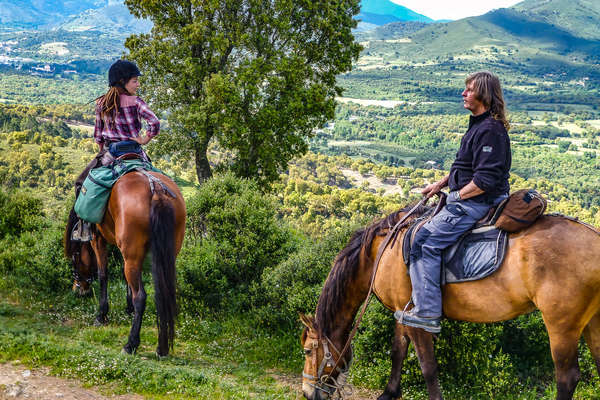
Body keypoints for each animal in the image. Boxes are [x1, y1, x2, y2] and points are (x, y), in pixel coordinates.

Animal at [63, 169, 185, 356]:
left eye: (74, 258)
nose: (78, 290)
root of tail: (155, 190)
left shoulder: (97, 239)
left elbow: (103, 274)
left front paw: (101, 315)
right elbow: (124, 275)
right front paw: (128, 309)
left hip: (132, 253)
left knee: (141, 296)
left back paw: (131, 344)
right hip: (164, 253)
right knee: (163, 292)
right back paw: (162, 347)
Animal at [300, 203, 600, 400]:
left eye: (307, 351)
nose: (307, 392)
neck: (380, 253)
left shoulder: (418, 319)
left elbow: (428, 367)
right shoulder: (401, 311)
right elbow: (397, 352)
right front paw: (389, 393)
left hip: (562, 324)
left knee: (567, 377)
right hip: (593, 321)